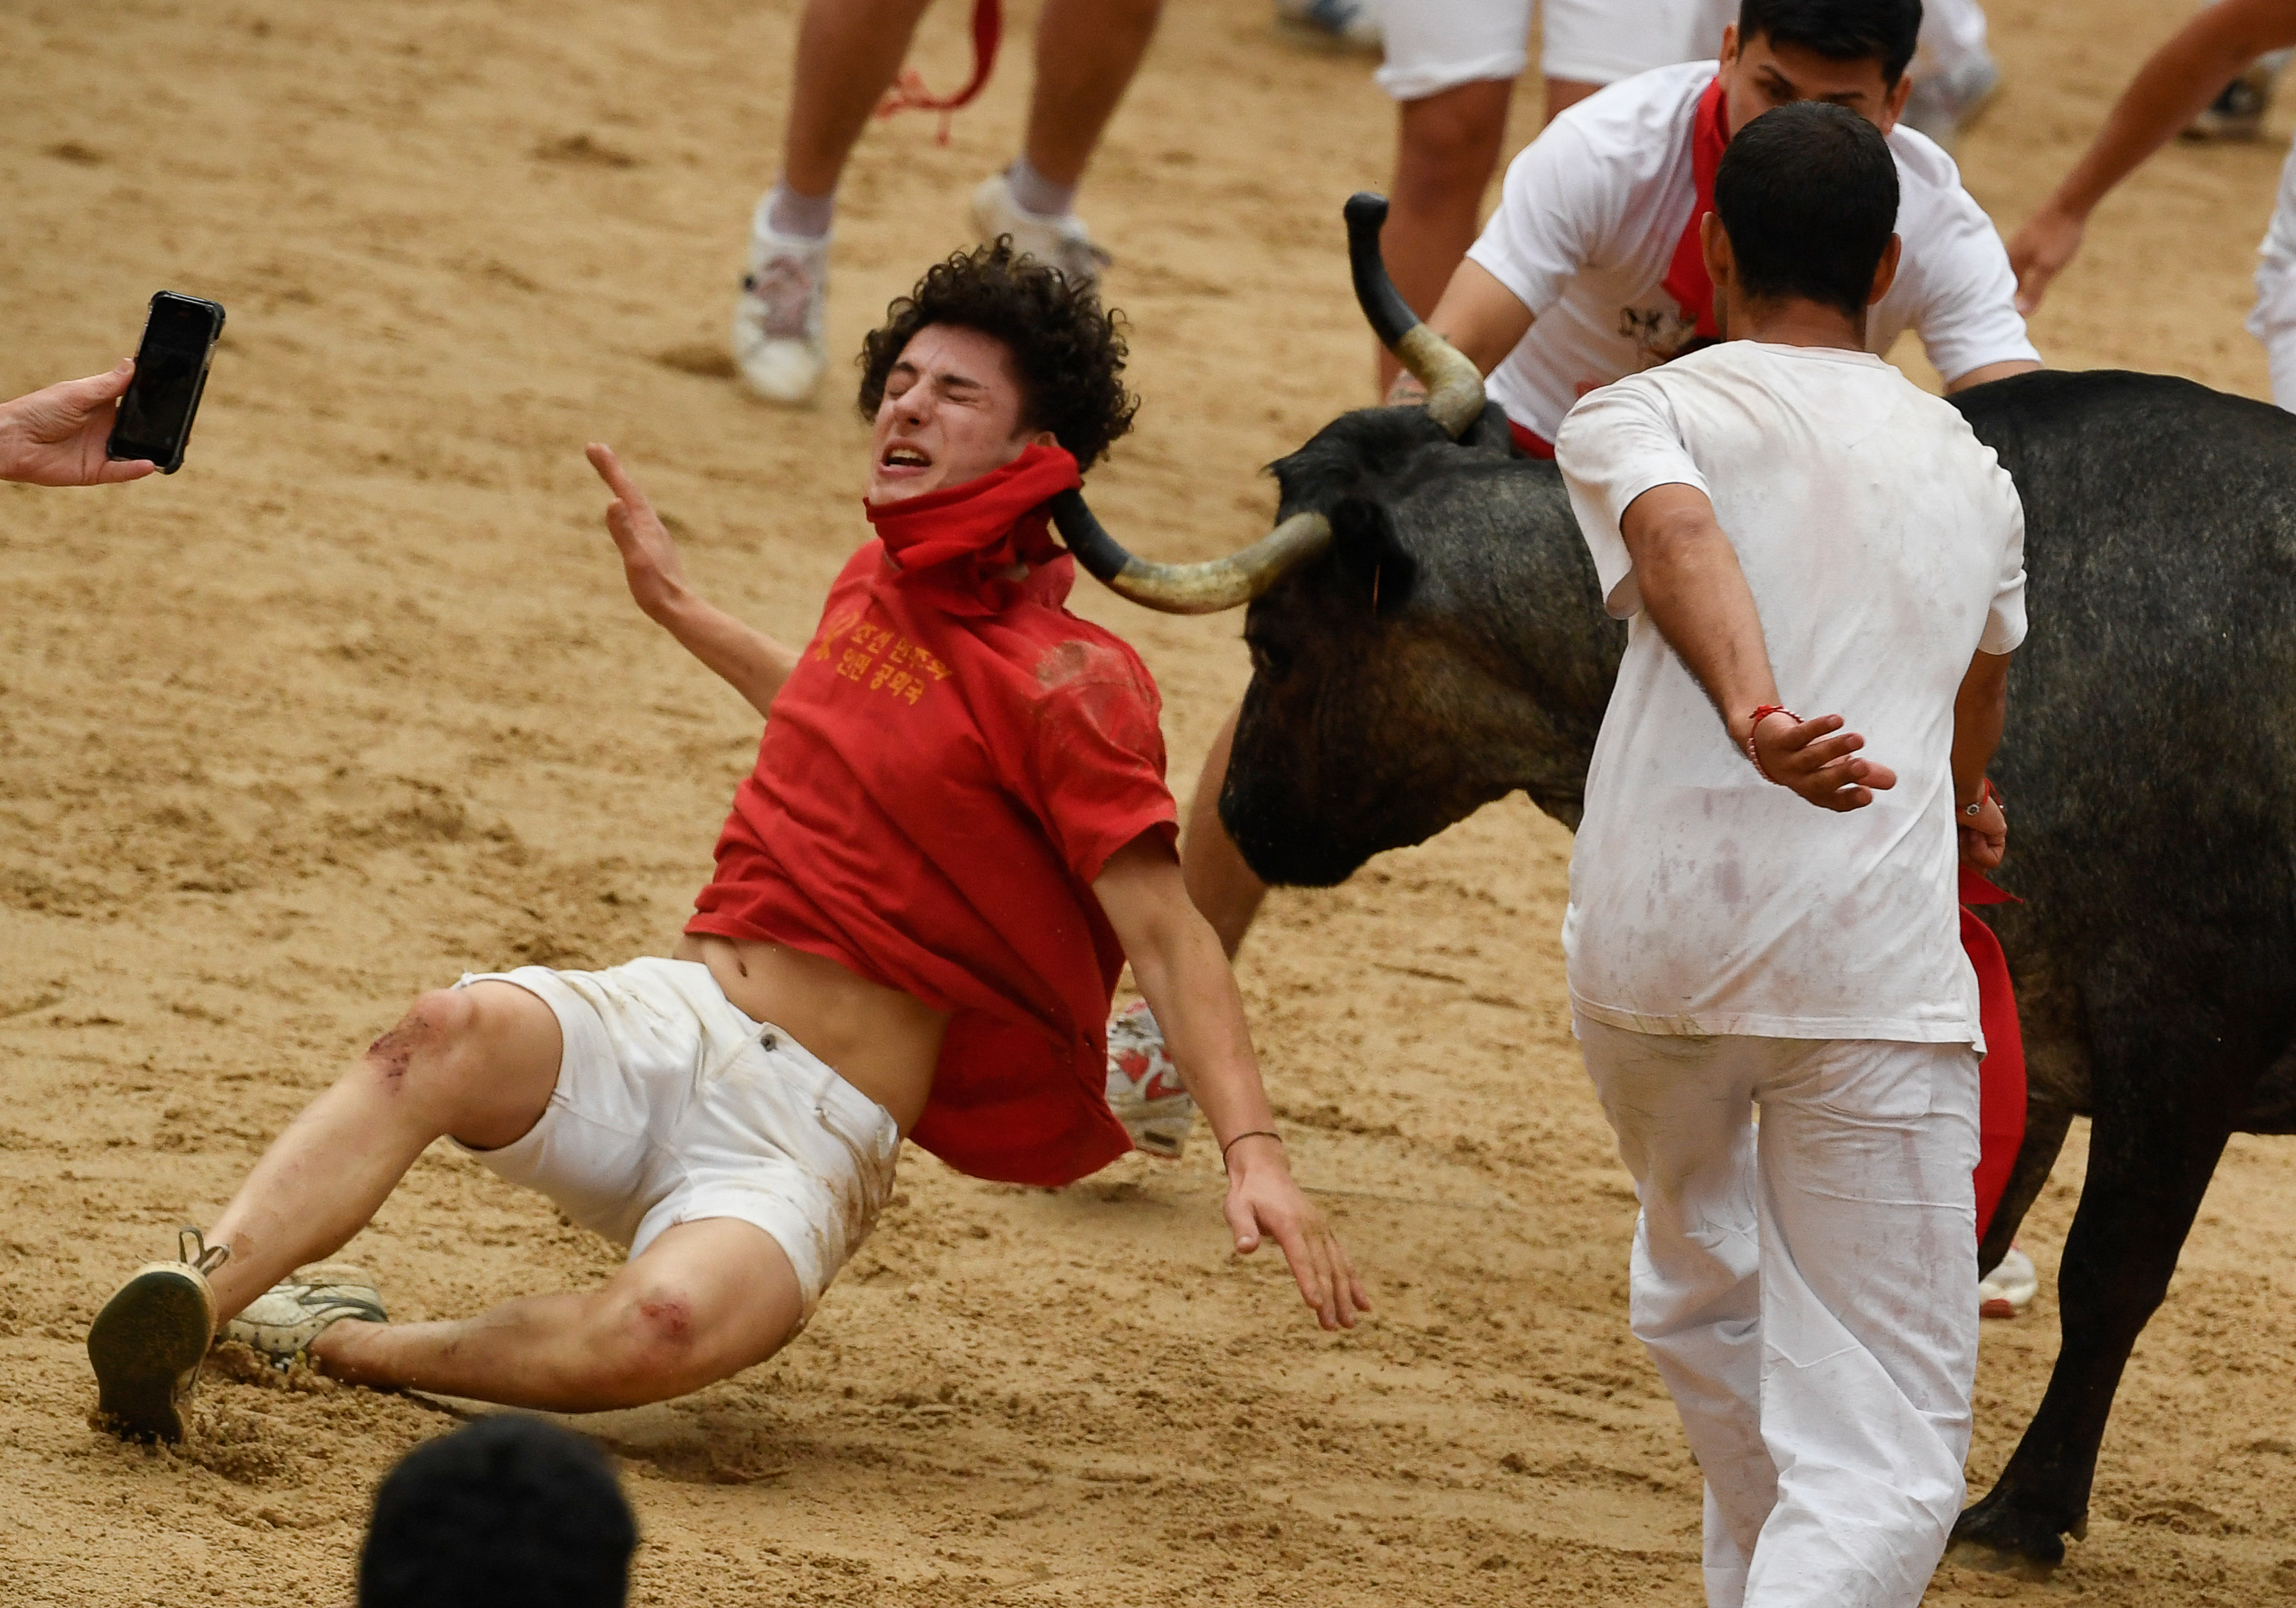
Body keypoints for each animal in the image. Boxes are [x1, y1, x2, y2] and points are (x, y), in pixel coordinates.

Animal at [1212, 367, 2287, 1571]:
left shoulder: (2182, 1041)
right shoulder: (2013, 1038)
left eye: (1272, 644)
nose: (1234, 814)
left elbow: (2106, 1274)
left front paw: (2023, 1512)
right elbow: (1955, 1254)